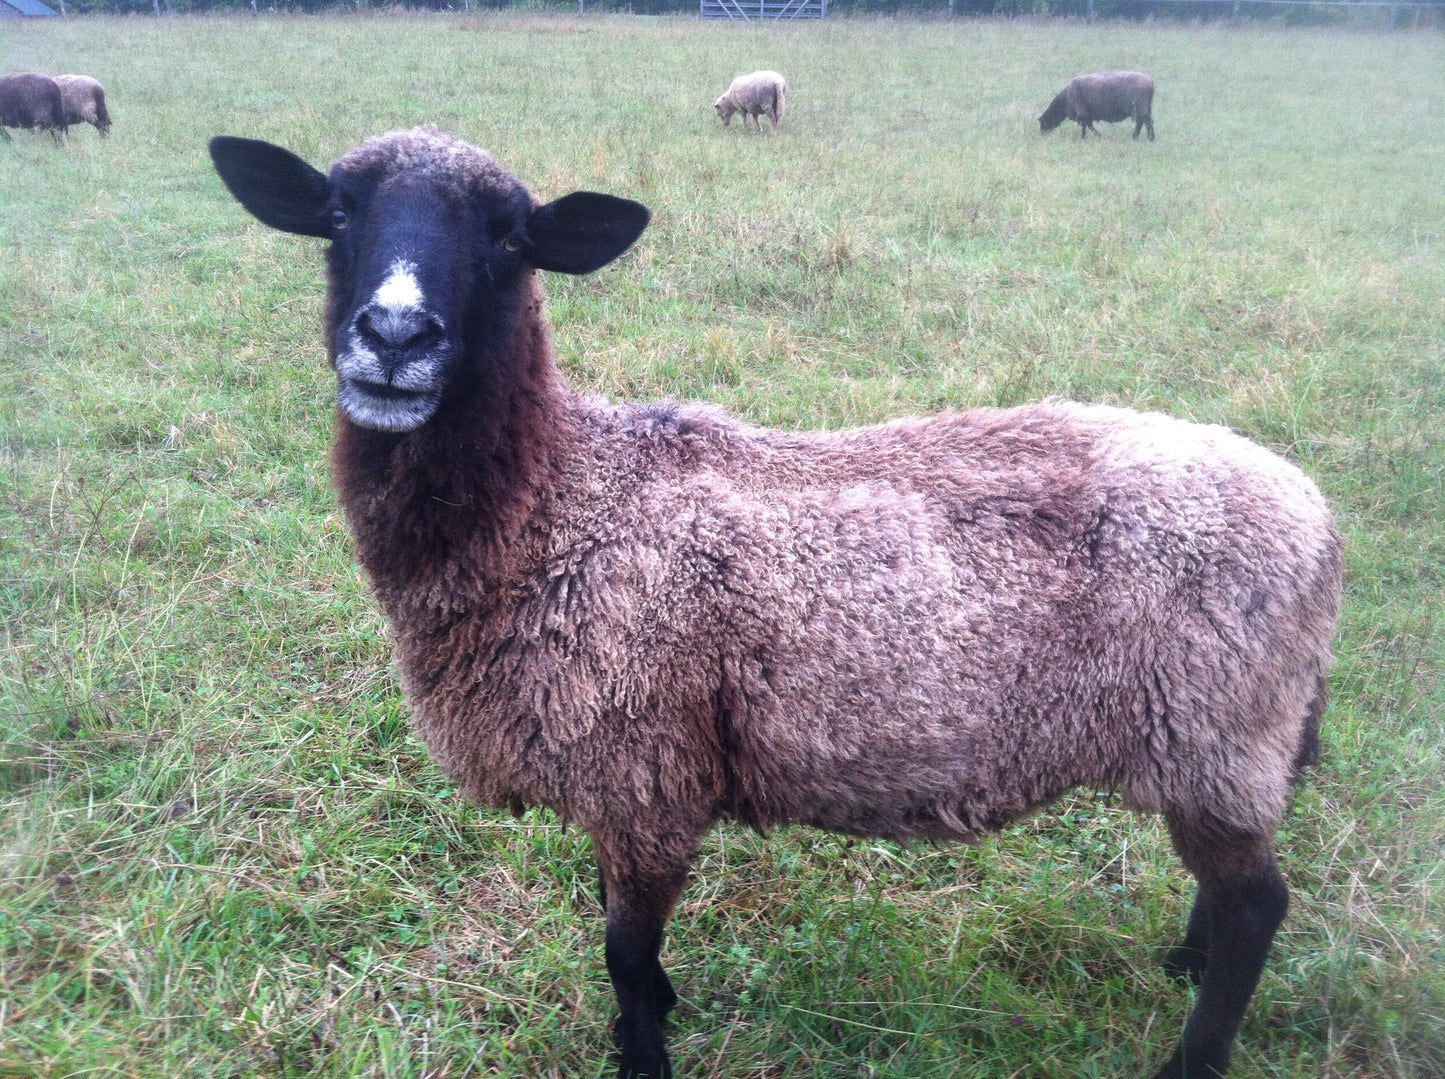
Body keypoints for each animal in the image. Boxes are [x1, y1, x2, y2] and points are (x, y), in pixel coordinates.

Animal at [210, 126, 1340, 1079]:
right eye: (339, 211)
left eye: (509, 236)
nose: (396, 333)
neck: (562, 501)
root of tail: (1318, 521)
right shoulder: (630, 777)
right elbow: (623, 936)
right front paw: (657, 1015)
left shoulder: (643, 769)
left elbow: (622, 949)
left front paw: (643, 1056)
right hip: (1214, 746)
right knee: (1229, 886)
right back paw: (1182, 964)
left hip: (1217, 724)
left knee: (1257, 904)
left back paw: (1193, 1052)